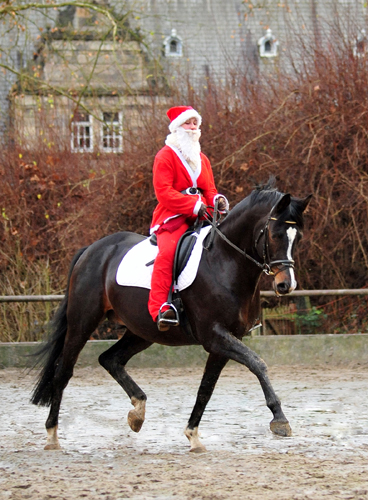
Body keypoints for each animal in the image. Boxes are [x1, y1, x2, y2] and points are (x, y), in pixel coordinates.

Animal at [31, 181, 312, 454]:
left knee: (110, 359)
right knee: (63, 372)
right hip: (82, 323)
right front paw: (280, 419)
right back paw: (52, 435)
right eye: (275, 234)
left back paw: (137, 412)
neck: (225, 262)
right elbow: (257, 363)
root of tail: (92, 249)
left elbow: (206, 388)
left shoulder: (224, 342)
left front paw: (193, 435)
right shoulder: (215, 336)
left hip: (142, 331)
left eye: (297, 237)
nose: (286, 285)